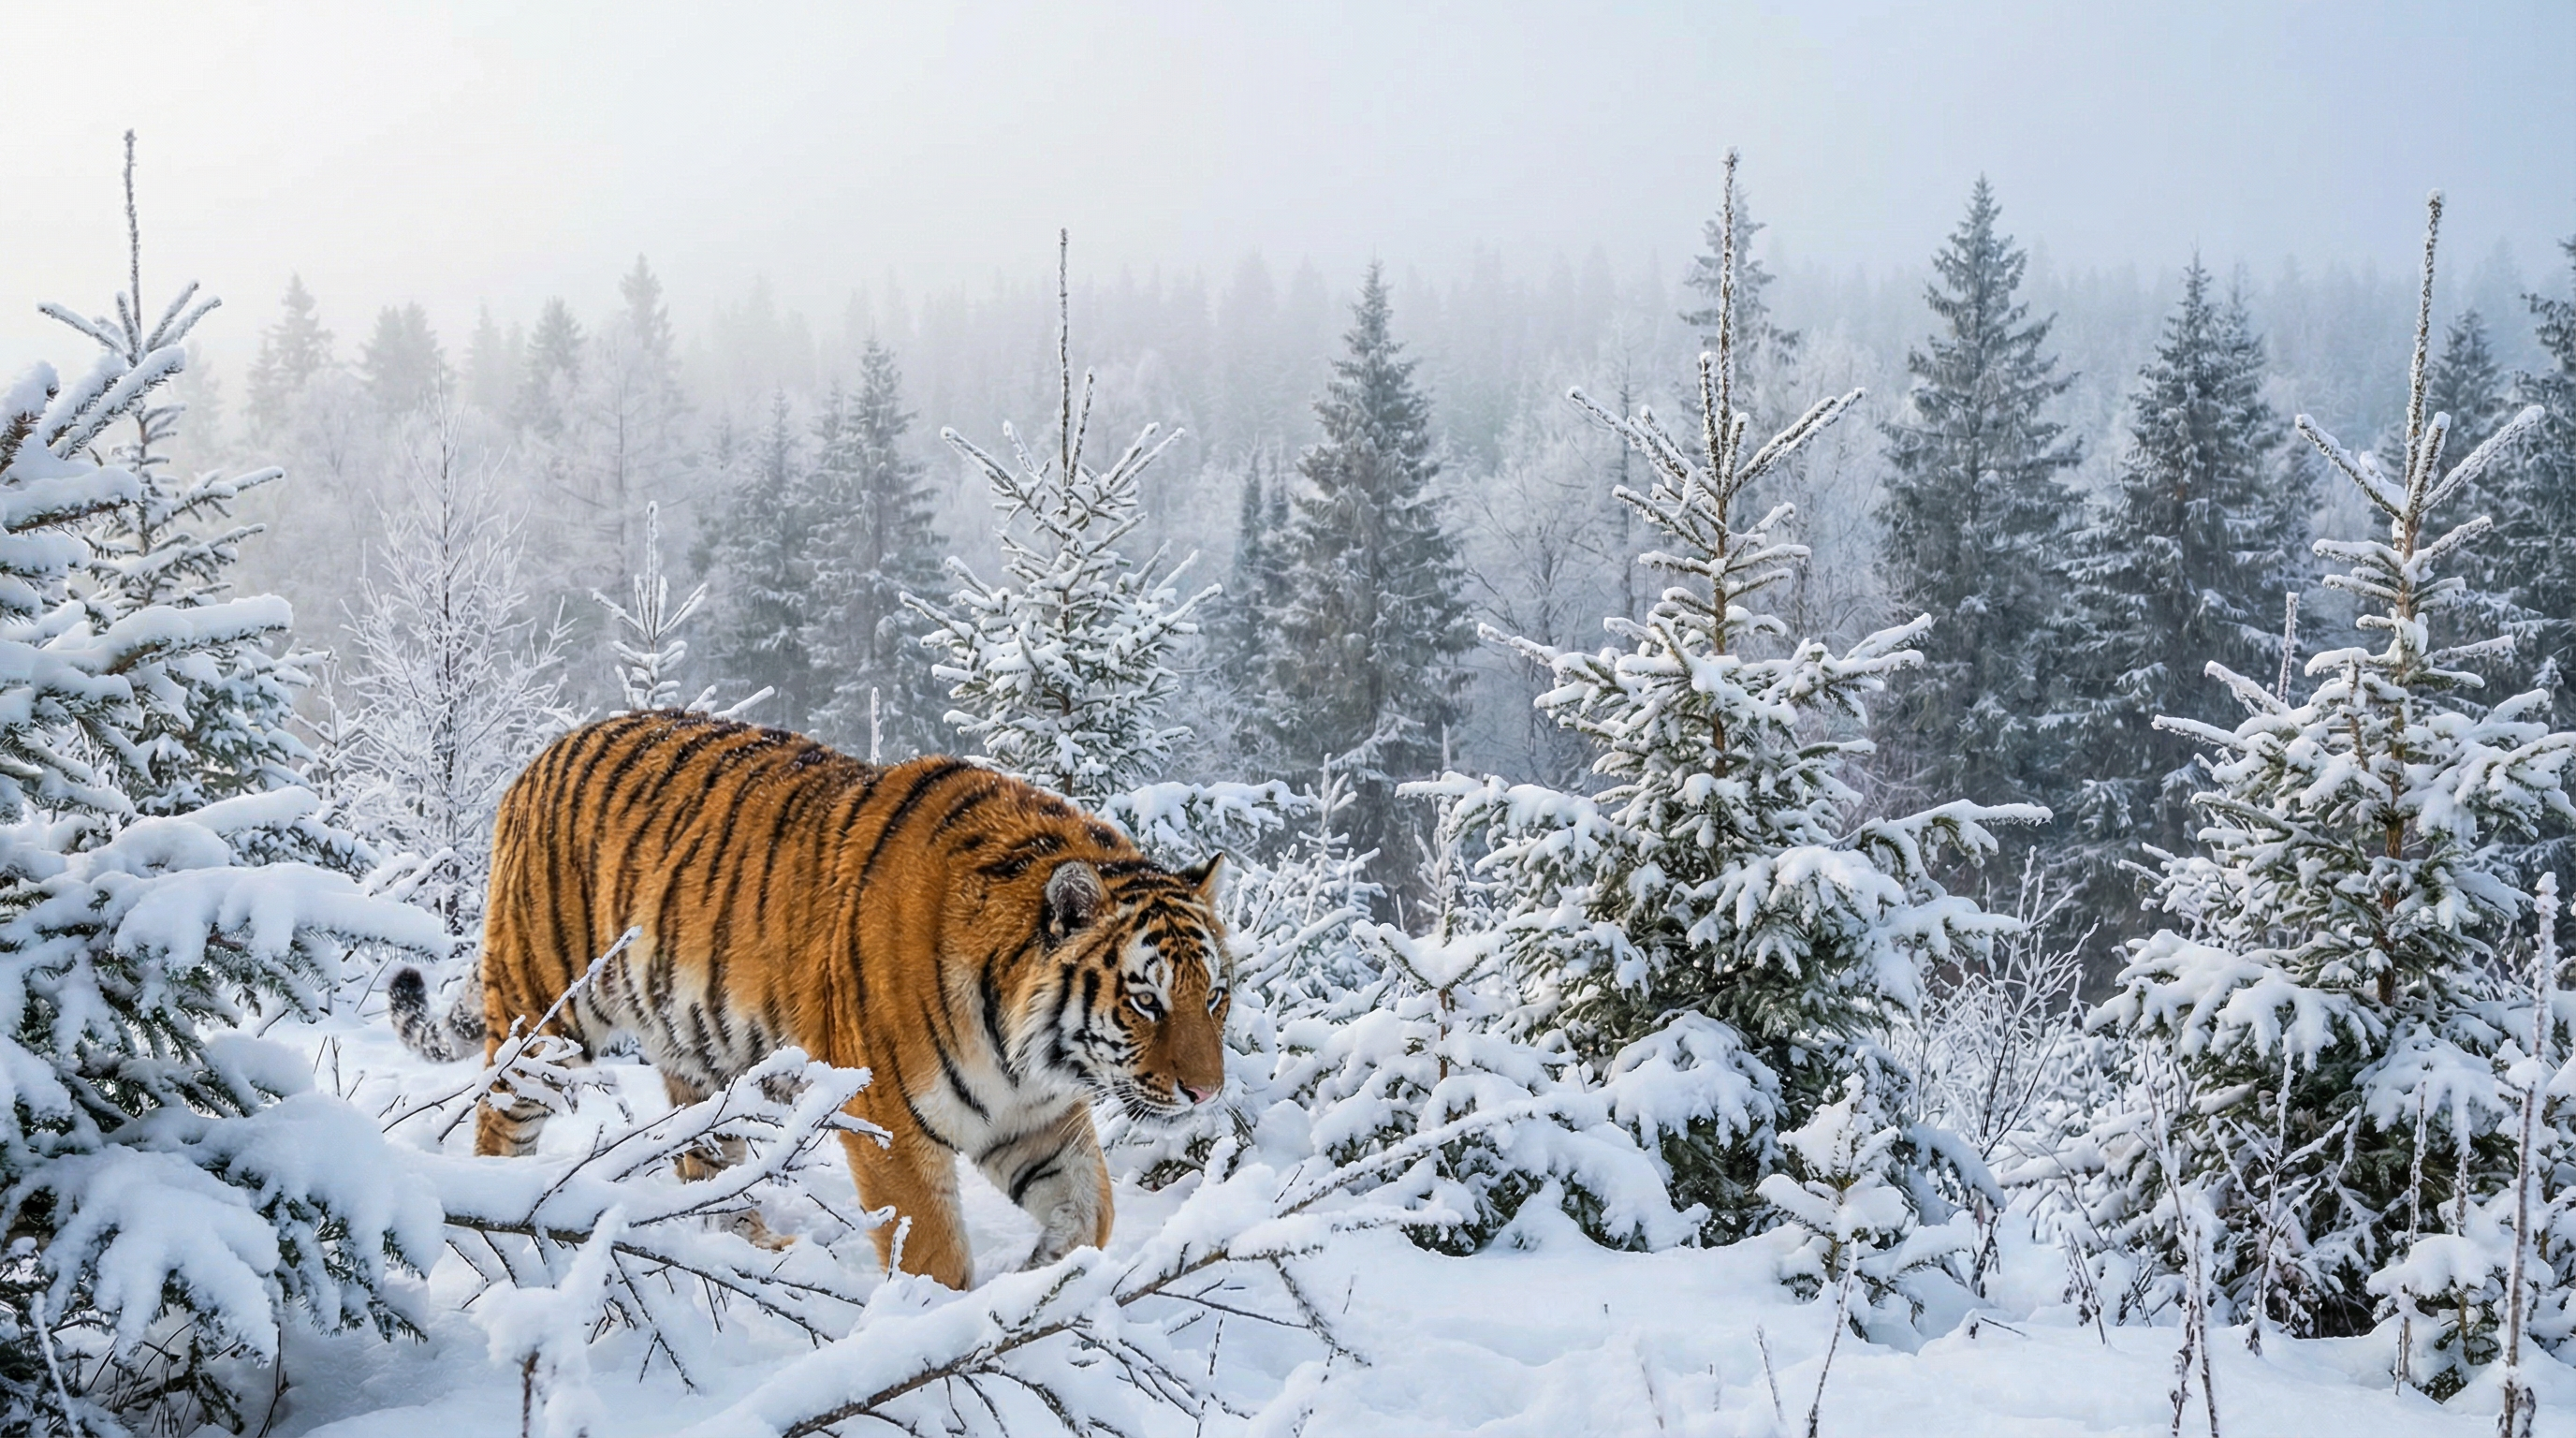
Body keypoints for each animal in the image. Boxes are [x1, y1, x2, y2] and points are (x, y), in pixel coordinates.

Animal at [386, 709, 1232, 1289]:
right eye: (1147, 1001)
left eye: (1216, 997)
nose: (1208, 1093)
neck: (1030, 1054)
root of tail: (540, 758)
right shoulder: (889, 1120)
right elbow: (930, 1251)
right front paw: (939, 1334)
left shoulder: (1034, 1119)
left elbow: (1093, 1211)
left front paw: (1043, 1275)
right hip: (545, 1019)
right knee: (499, 1126)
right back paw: (511, 1238)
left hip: (700, 1053)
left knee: (705, 1158)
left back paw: (754, 1248)